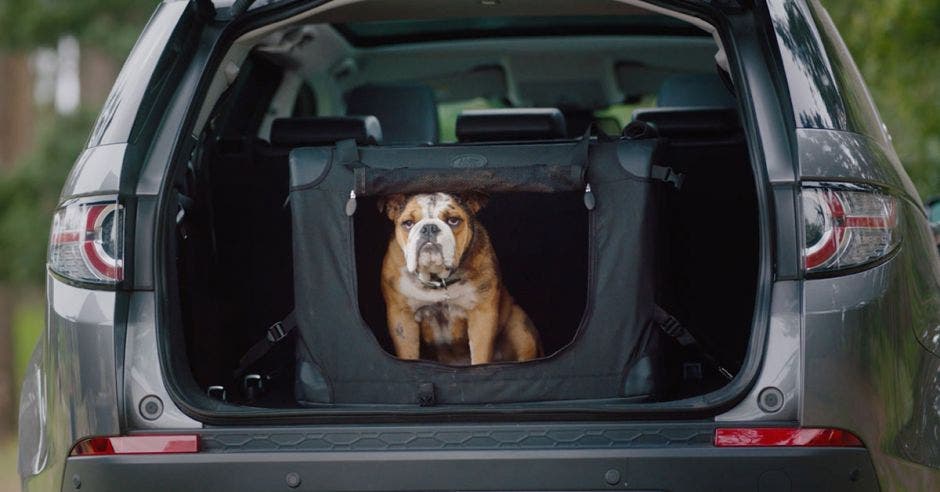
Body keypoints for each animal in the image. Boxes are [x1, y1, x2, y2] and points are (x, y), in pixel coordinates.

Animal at [380, 192, 544, 366]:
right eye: (408, 223)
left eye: (453, 220)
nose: (429, 227)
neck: (438, 278)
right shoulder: (402, 319)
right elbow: (408, 355)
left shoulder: (482, 316)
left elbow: (480, 355)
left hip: (519, 326)